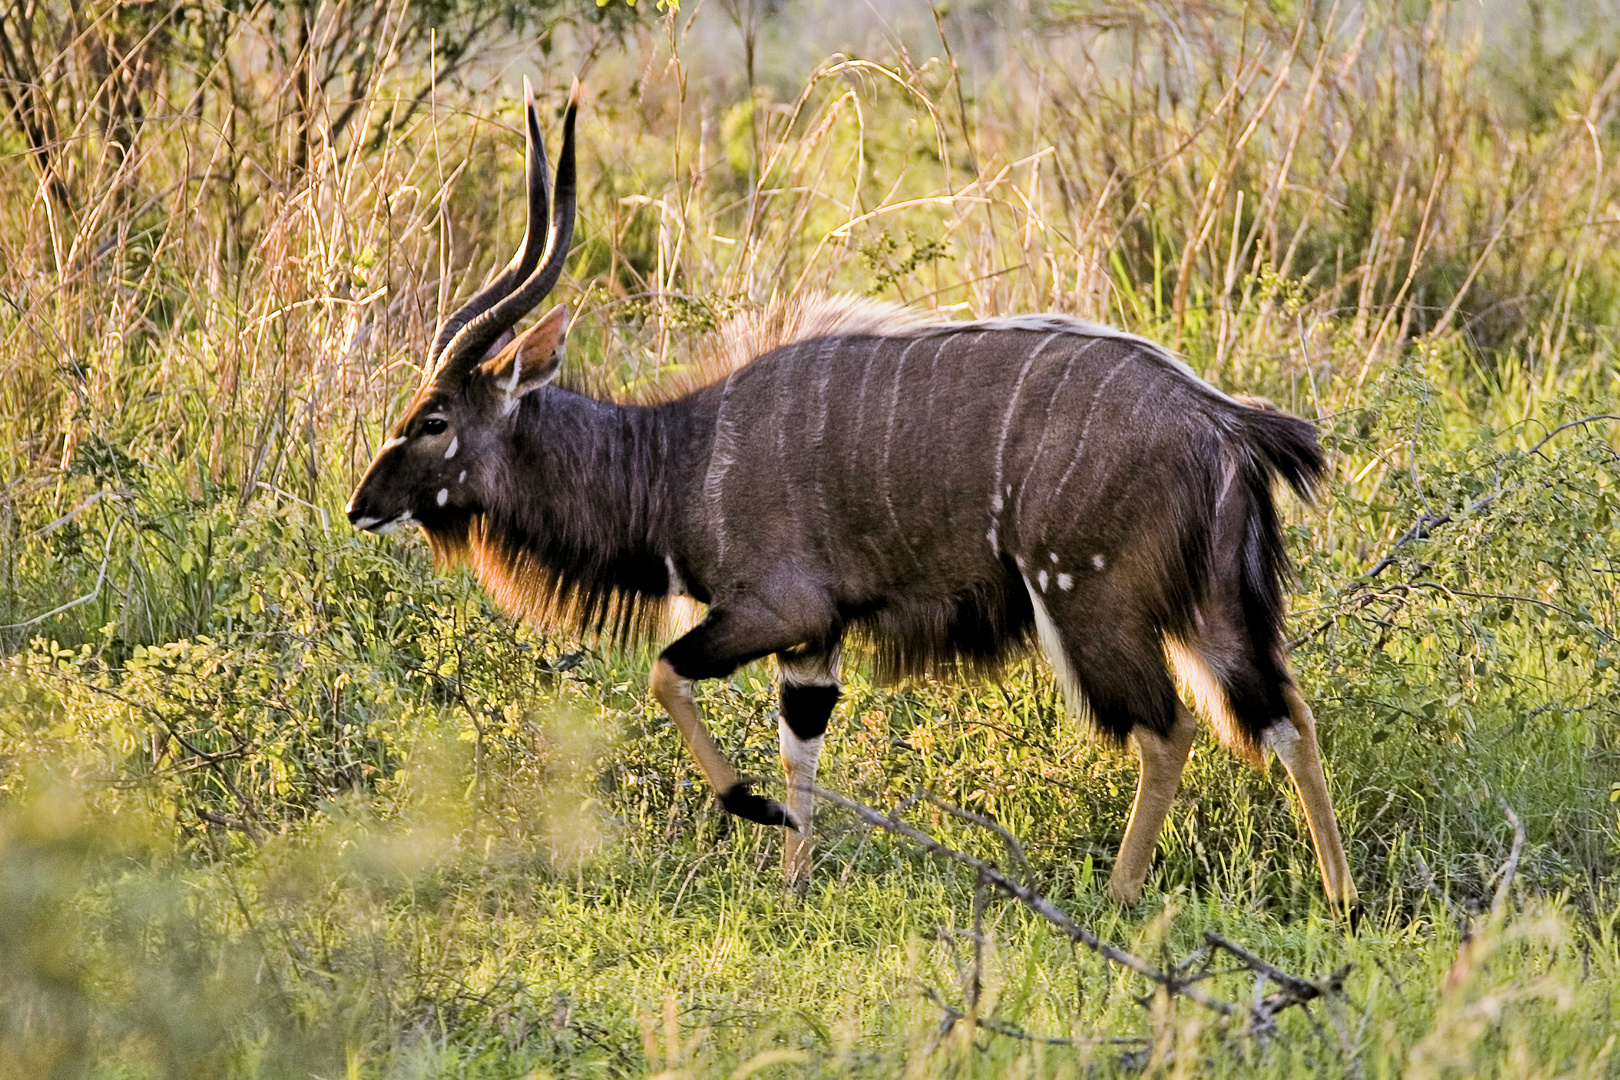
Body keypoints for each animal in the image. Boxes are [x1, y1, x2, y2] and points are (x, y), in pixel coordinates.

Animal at [348, 82, 1360, 913]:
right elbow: (801, 738)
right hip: (1214, 608)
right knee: (1285, 715)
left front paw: (756, 812)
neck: (676, 460)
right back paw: (1341, 902)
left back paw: (1118, 897)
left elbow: (667, 674)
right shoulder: (812, 643)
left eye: (433, 418)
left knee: (1169, 729)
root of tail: (1223, 420)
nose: (360, 506)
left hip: (1091, 603)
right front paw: (795, 878)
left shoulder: (777, 610)